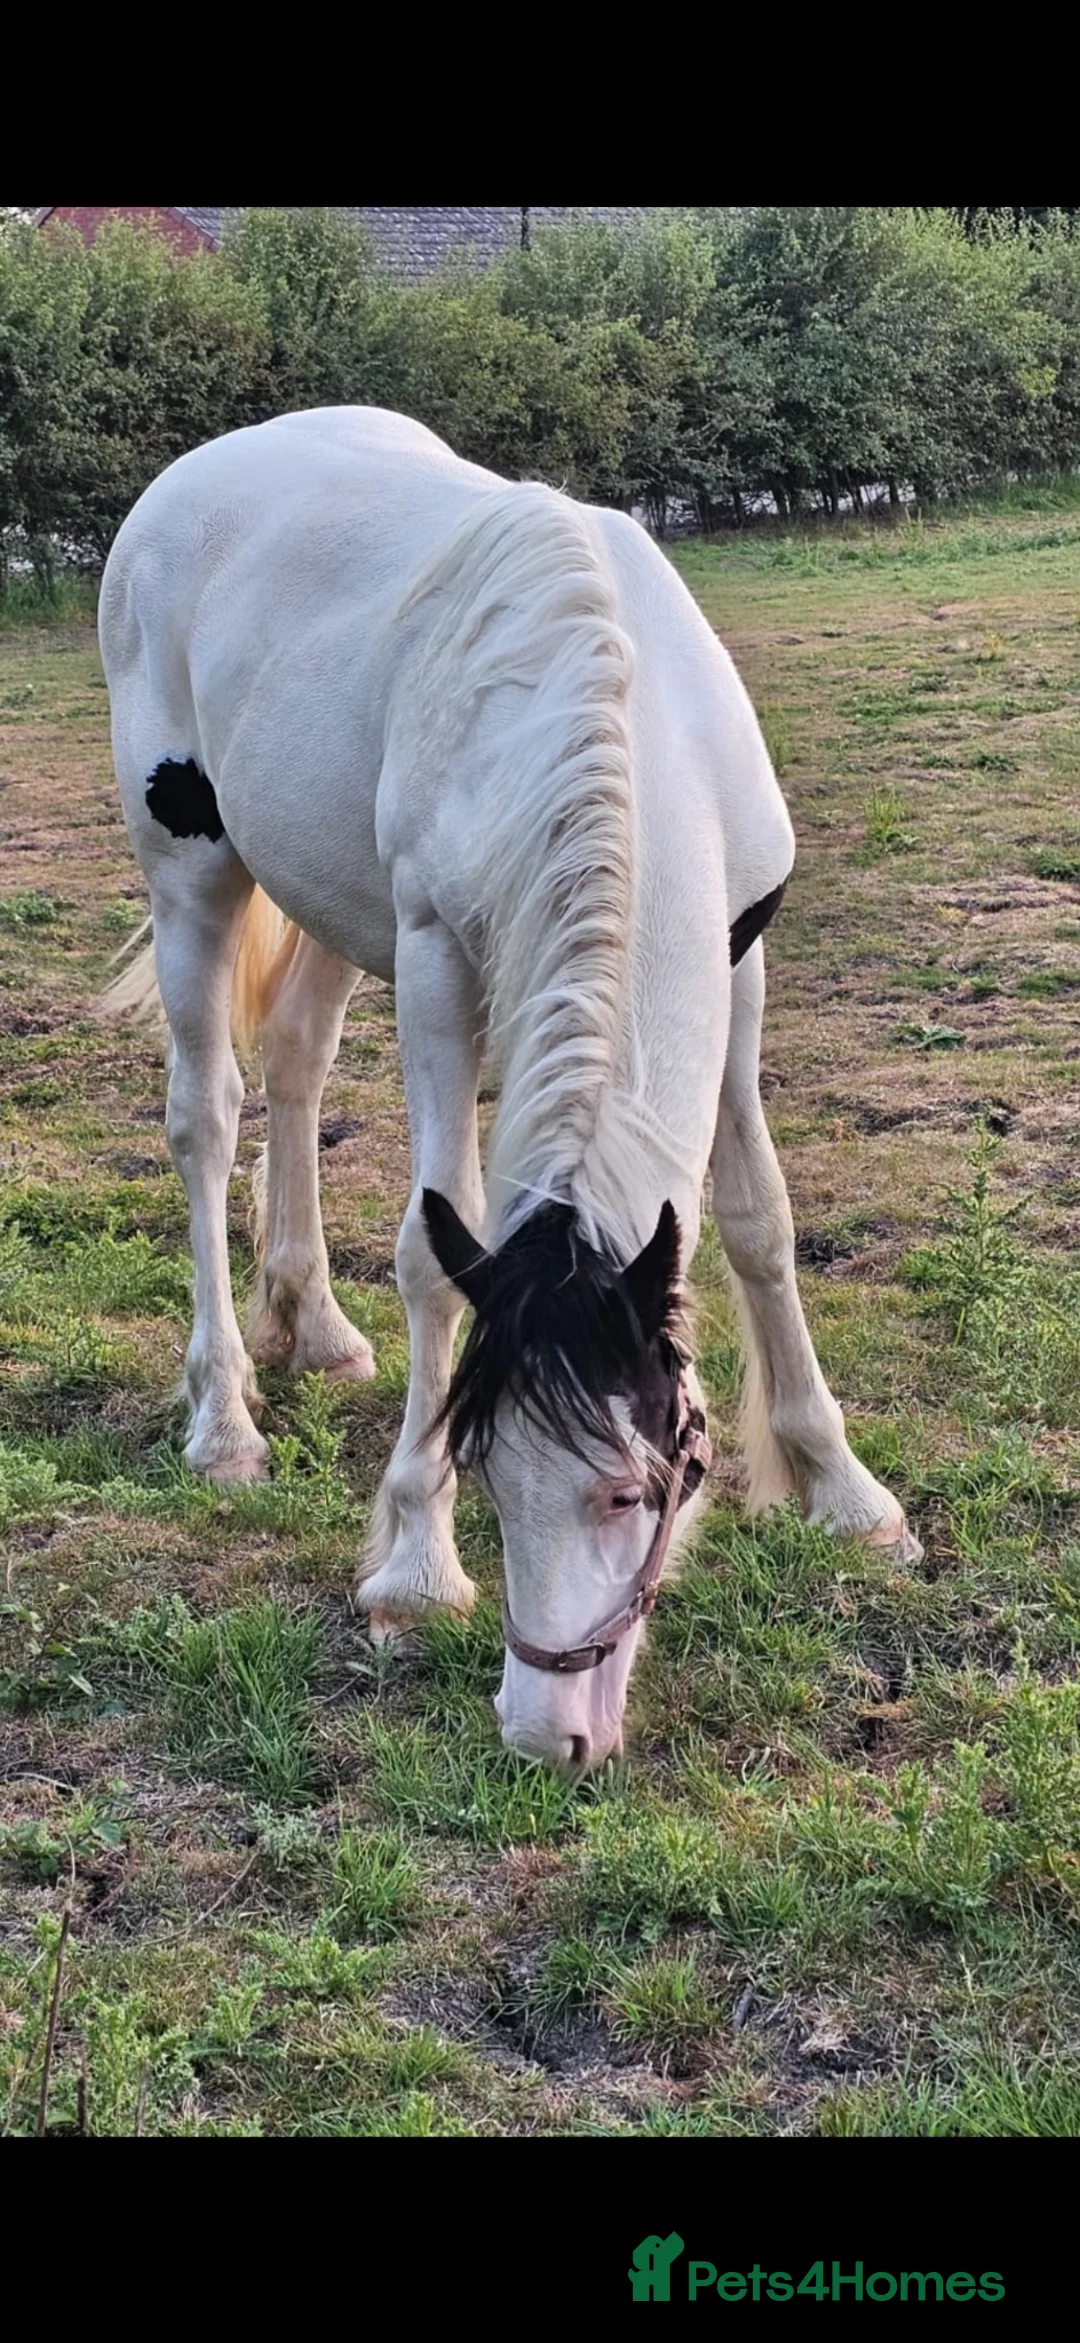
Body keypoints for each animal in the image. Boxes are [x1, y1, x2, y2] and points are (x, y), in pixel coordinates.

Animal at [99, 405, 920, 1773]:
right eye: (482, 1470)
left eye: (641, 1488)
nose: (548, 1734)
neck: (618, 716)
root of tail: (198, 470)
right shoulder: (437, 961)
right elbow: (436, 1257)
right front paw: (414, 1570)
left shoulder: (738, 957)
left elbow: (759, 1222)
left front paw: (843, 1490)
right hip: (190, 873)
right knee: (203, 1118)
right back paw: (224, 1421)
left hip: (328, 899)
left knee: (295, 1063)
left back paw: (312, 1322)